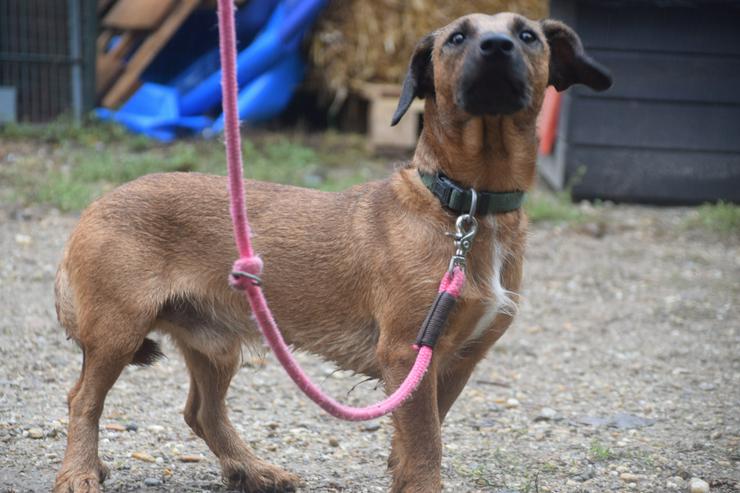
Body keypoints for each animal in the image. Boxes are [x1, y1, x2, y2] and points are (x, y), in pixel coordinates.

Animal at [50, 13, 608, 492]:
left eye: (528, 35)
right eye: (456, 38)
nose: (496, 47)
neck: (465, 209)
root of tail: (93, 207)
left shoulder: (454, 365)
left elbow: (417, 442)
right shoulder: (409, 355)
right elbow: (425, 448)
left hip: (215, 342)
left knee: (201, 412)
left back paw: (252, 469)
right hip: (118, 333)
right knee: (83, 400)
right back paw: (80, 472)